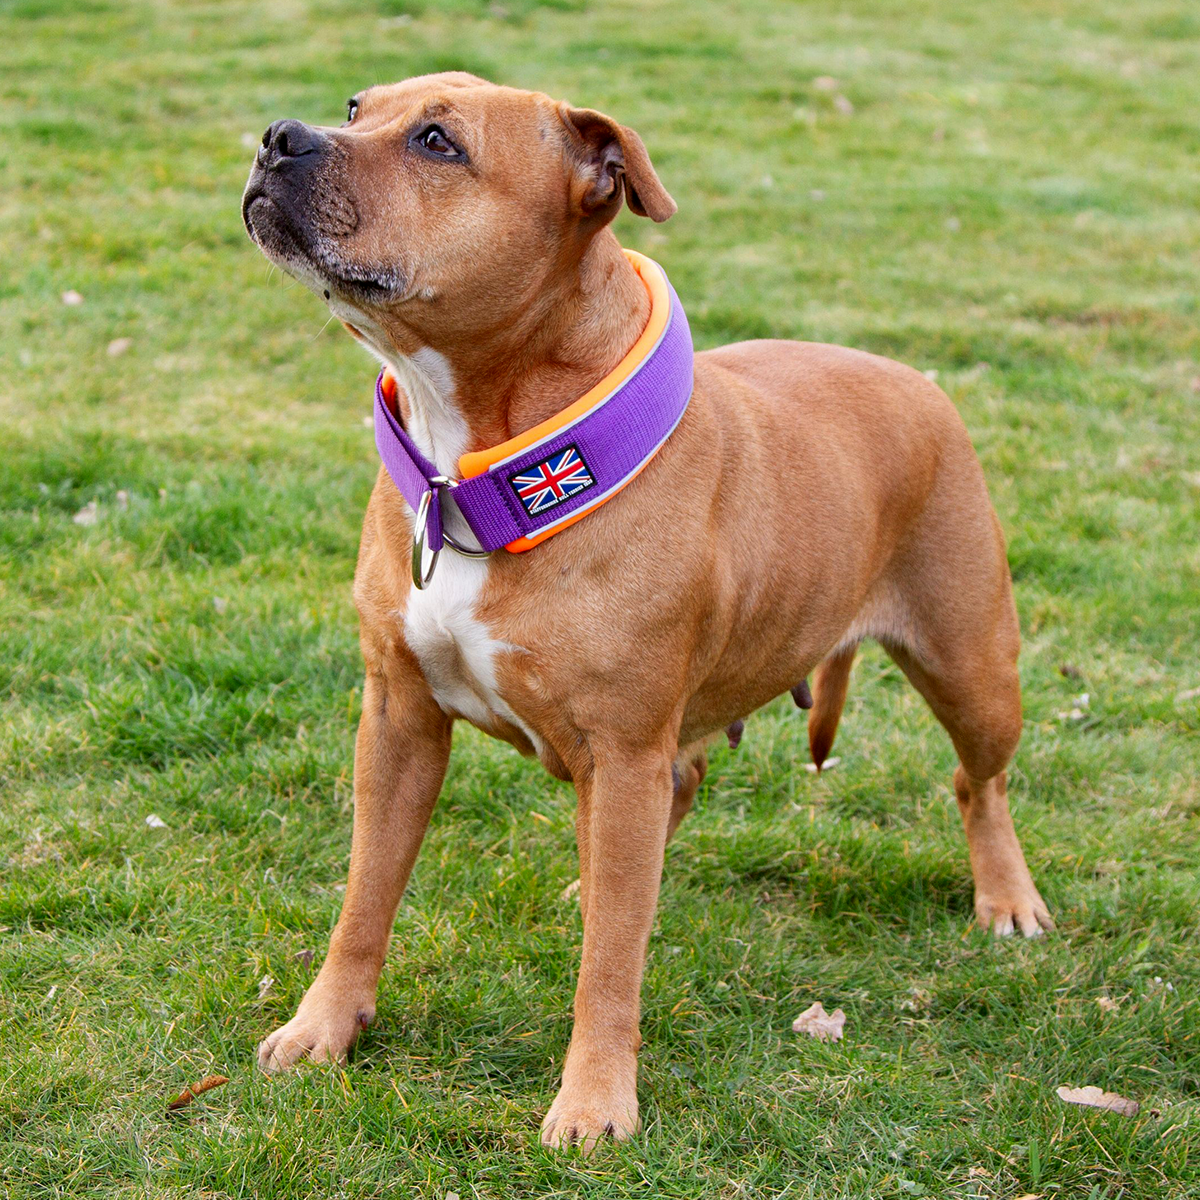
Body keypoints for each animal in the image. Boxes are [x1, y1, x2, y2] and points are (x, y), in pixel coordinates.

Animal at [241, 70, 1051, 1147]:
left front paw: (594, 1100)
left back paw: (1008, 896)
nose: (279, 135)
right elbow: (365, 898)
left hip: (972, 668)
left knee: (978, 782)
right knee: (679, 796)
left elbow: (610, 966)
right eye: (356, 107)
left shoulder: (622, 748)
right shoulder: (399, 720)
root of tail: (915, 379)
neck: (482, 463)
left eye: (438, 143)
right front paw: (325, 1026)